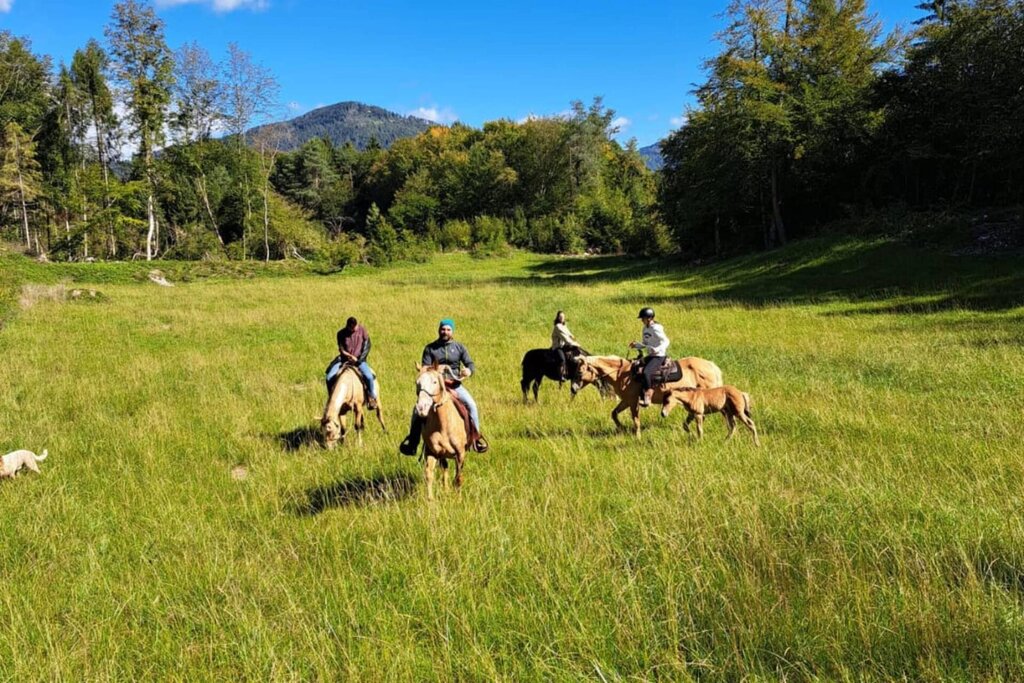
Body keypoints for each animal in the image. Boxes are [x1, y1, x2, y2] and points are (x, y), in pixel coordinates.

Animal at [411, 362, 468, 501]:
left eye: (435, 381)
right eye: (417, 382)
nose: (421, 408)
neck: (443, 425)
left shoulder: (460, 453)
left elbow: (458, 478)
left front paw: (459, 500)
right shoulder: (432, 452)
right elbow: (429, 475)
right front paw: (430, 500)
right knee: (444, 469)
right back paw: (446, 491)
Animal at [573, 356, 724, 440]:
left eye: (580, 371)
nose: (573, 389)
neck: (622, 374)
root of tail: (712, 366)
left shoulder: (633, 401)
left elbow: (636, 420)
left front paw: (637, 437)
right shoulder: (626, 400)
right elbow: (614, 413)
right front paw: (622, 428)